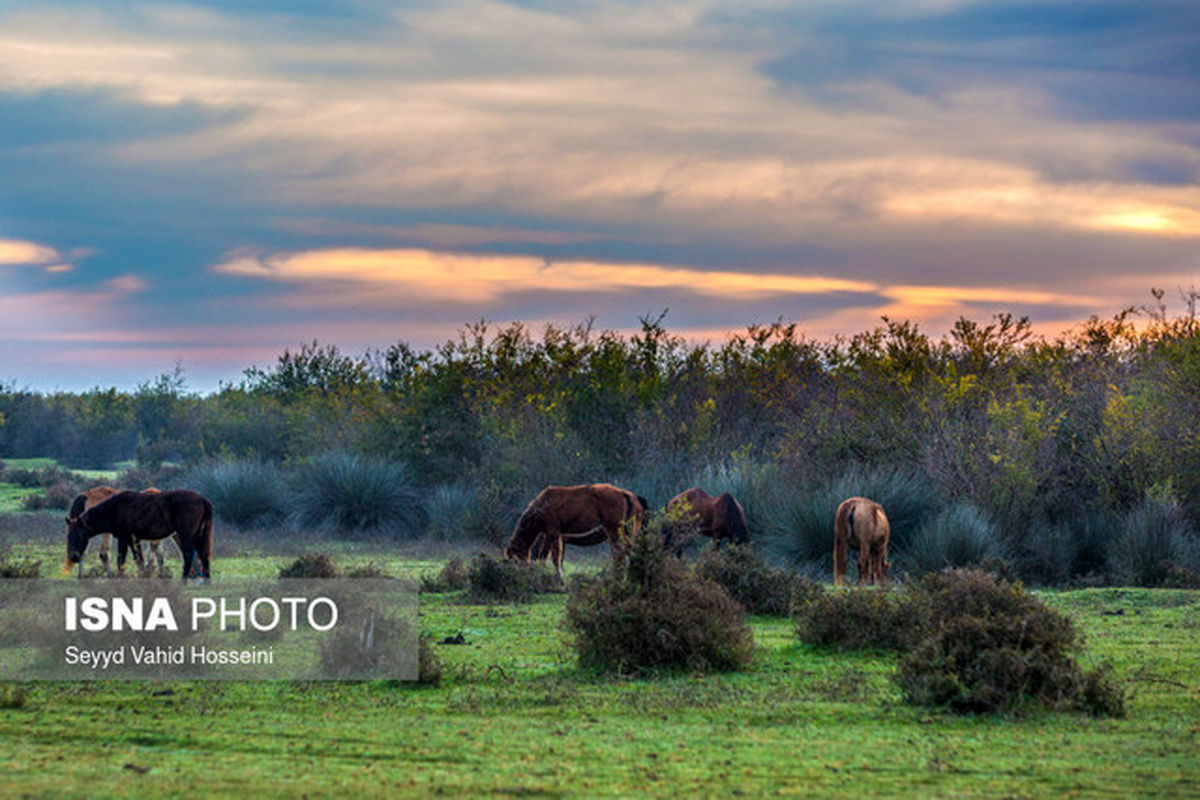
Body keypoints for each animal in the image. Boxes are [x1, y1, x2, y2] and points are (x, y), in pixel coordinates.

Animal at [68, 489, 214, 582]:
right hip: (198, 535)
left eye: (80, 535)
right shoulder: (130, 539)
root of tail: (202, 499)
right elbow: (136, 559)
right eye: (69, 536)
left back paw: (183, 580)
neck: (115, 508)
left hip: (187, 535)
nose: (74, 557)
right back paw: (206, 580)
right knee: (204, 555)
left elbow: (127, 559)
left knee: (189, 555)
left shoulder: (126, 537)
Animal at [501, 482, 643, 575]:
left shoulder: (554, 533)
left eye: (514, 559)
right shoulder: (548, 535)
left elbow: (555, 557)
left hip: (614, 531)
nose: (518, 574)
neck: (542, 507)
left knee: (620, 553)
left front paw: (559, 578)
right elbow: (544, 556)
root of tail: (624, 493)